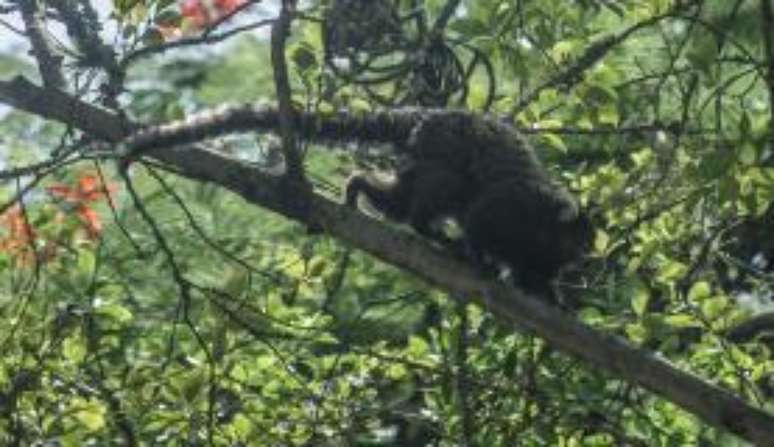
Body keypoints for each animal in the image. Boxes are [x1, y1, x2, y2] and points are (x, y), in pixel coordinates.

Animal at [346, 111, 596, 298]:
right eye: (579, 242)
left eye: (586, 245)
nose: (583, 257)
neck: (544, 228)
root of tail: (439, 116)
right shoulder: (517, 205)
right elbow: (478, 216)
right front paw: (479, 259)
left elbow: (529, 273)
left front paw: (551, 296)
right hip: (441, 144)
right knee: (451, 182)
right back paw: (430, 230)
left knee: (400, 202)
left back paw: (359, 183)